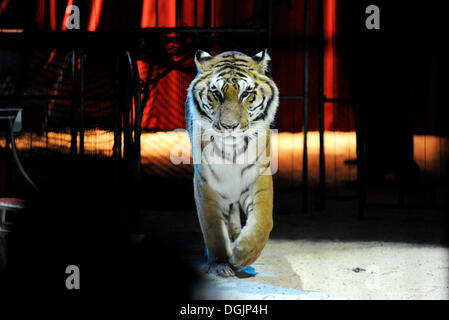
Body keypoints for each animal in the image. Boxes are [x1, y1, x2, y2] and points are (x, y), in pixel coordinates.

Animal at [185, 48, 276, 276]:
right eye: (216, 94)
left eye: (246, 94)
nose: (229, 127)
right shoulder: (205, 183)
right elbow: (213, 228)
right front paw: (220, 263)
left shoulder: (259, 176)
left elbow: (262, 222)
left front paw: (242, 255)